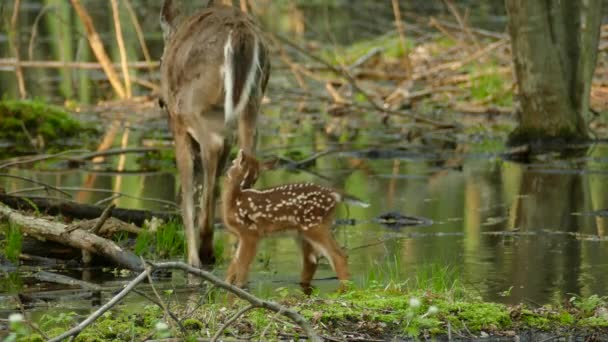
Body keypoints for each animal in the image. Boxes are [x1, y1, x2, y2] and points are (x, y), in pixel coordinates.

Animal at [160, 0, 270, 268]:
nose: (160, 101)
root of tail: (241, 33)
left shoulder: (177, 124)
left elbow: (188, 189)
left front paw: (193, 255)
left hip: (192, 105)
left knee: (212, 149)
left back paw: (200, 254)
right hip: (251, 102)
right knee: (248, 161)